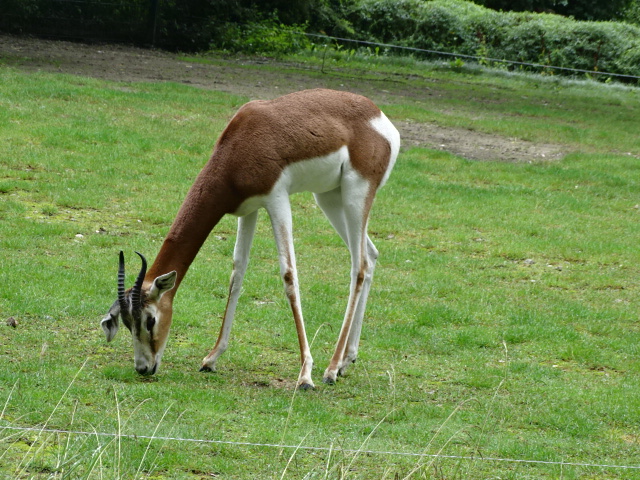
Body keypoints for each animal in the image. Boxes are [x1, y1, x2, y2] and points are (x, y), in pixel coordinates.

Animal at [101, 88, 400, 389]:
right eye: (127, 323)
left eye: (150, 320)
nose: (143, 367)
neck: (240, 144)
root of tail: (381, 119)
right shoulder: (248, 209)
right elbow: (237, 273)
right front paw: (211, 358)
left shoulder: (276, 198)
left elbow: (289, 275)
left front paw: (305, 375)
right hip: (329, 197)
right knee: (370, 256)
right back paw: (346, 361)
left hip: (356, 193)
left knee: (359, 266)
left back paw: (330, 369)